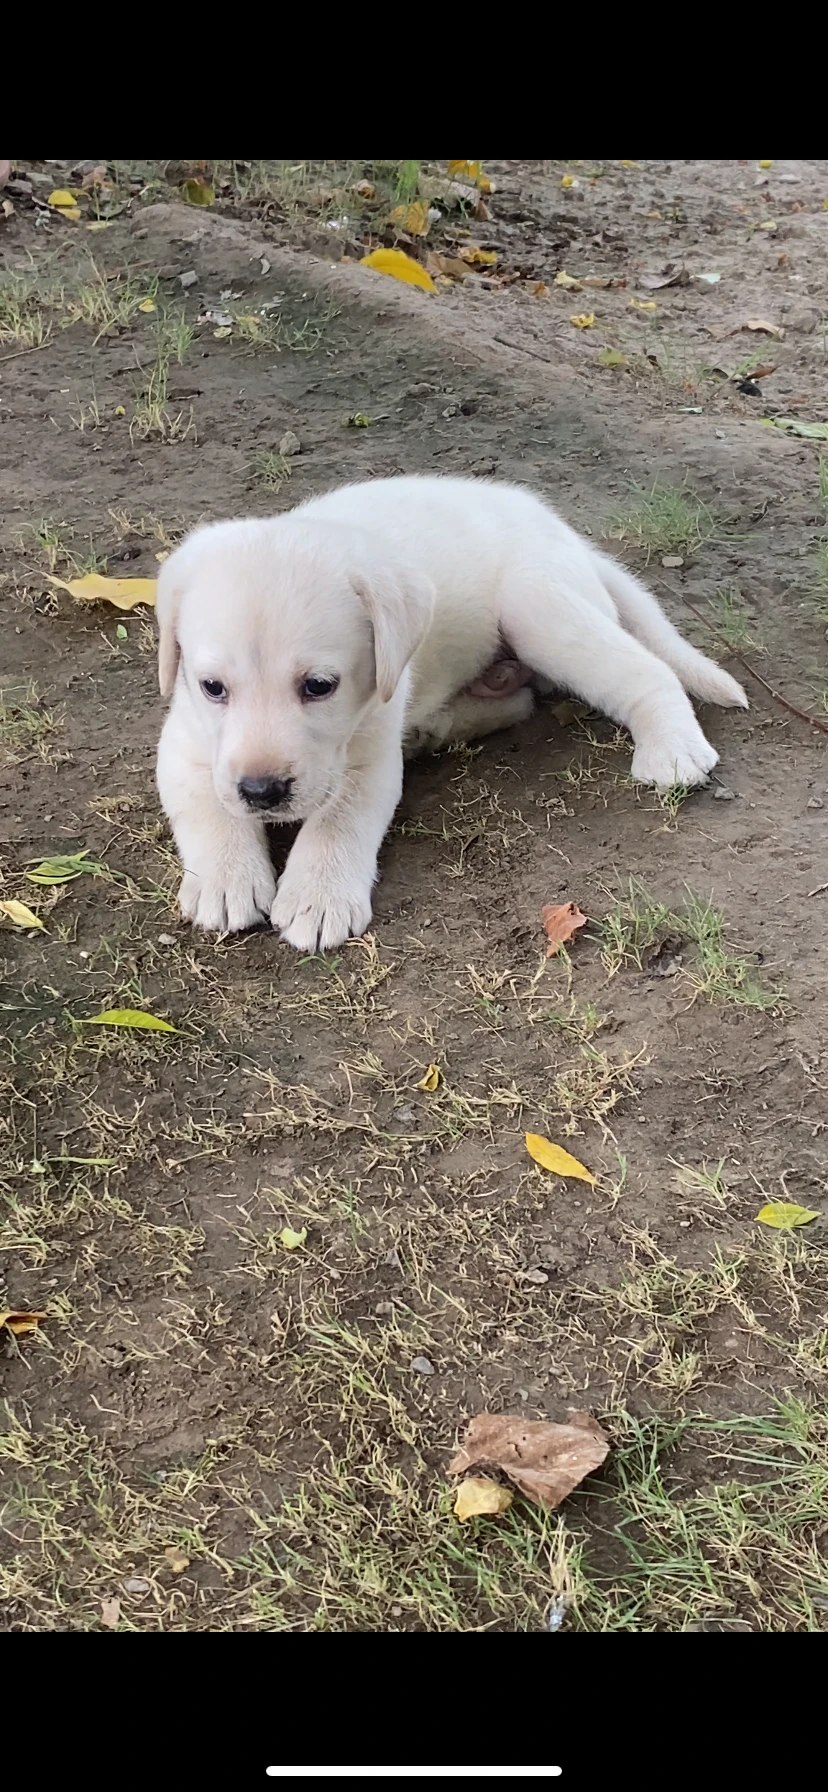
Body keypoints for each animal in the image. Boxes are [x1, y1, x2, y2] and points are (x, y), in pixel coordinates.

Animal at [153, 476, 745, 953]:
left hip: (538, 605)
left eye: (319, 686)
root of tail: (563, 532)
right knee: (518, 698)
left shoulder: (369, 755)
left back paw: (672, 749)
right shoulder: (184, 741)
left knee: (646, 671)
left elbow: (338, 819)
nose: (262, 792)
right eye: (212, 687)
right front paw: (226, 879)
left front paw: (317, 897)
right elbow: (206, 805)